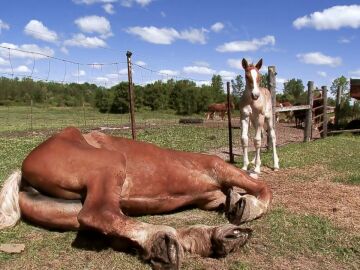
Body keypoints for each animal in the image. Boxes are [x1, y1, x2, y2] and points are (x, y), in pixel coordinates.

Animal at [0, 127, 270, 270]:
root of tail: (23, 171)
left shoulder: (211, 198)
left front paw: (236, 204)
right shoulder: (219, 167)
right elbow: (262, 188)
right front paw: (248, 207)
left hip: (66, 210)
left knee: (110, 226)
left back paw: (205, 238)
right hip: (110, 163)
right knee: (100, 214)